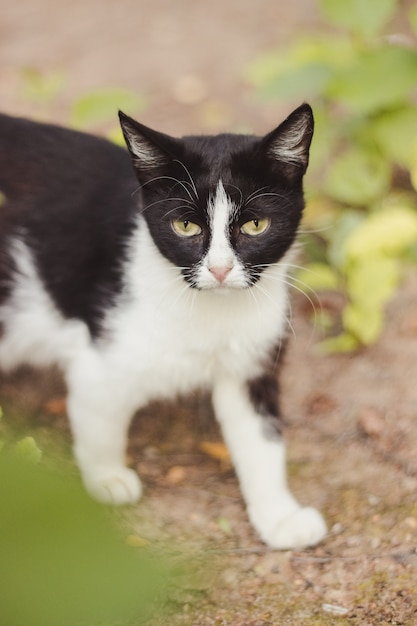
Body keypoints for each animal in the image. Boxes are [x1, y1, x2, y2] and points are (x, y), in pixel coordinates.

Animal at [0, 103, 324, 544]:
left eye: (255, 225)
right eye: (185, 226)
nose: (220, 269)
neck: (210, 312)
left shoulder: (251, 360)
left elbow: (261, 438)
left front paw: (279, 516)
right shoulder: (101, 358)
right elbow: (98, 422)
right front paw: (107, 480)